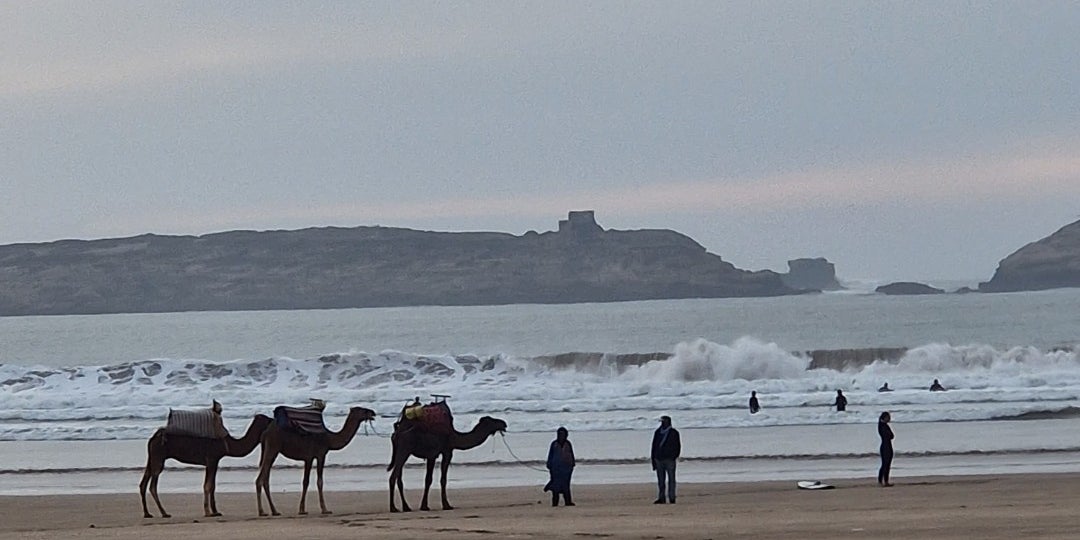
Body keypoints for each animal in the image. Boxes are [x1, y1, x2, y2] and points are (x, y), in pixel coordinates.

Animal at [139, 412, 272, 518]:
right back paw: (164, 513)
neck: (227, 444)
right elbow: (208, 485)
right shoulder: (212, 459)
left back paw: (147, 513)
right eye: (266, 418)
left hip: (152, 458)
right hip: (158, 457)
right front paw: (208, 512)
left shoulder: (214, 461)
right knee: (153, 485)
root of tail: (153, 438)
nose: (273, 419)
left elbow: (212, 485)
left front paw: (216, 511)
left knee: (143, 482)